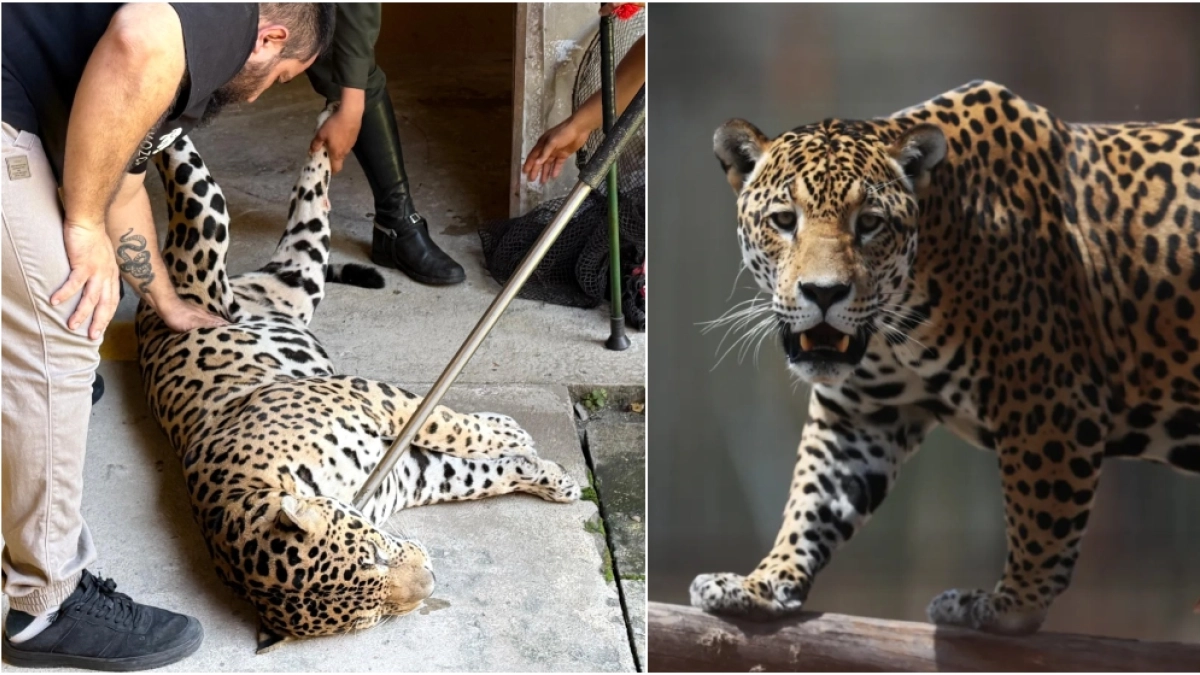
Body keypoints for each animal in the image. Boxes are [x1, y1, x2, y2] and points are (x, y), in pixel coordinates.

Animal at [135, 108, 581, 652]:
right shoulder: (413, 472)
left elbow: (450, 426)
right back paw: (324, 131)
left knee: (201, 192)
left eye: (375, 554)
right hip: (296, 278)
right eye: (371, 617)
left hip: (205, 259)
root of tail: (148, 305)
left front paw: (511, 436)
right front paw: (548, 476)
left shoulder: (363, 394)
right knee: (303, 215)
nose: (430, 583)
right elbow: (477, 476)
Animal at [691, 80, 1199, 635]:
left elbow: (1039, 514)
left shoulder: (1050, 402)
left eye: (870, 224)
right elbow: (813, 500)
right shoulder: (861, 416)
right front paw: (761, 582)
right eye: (784, 221)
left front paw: (1007, 606)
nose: (824, 293)